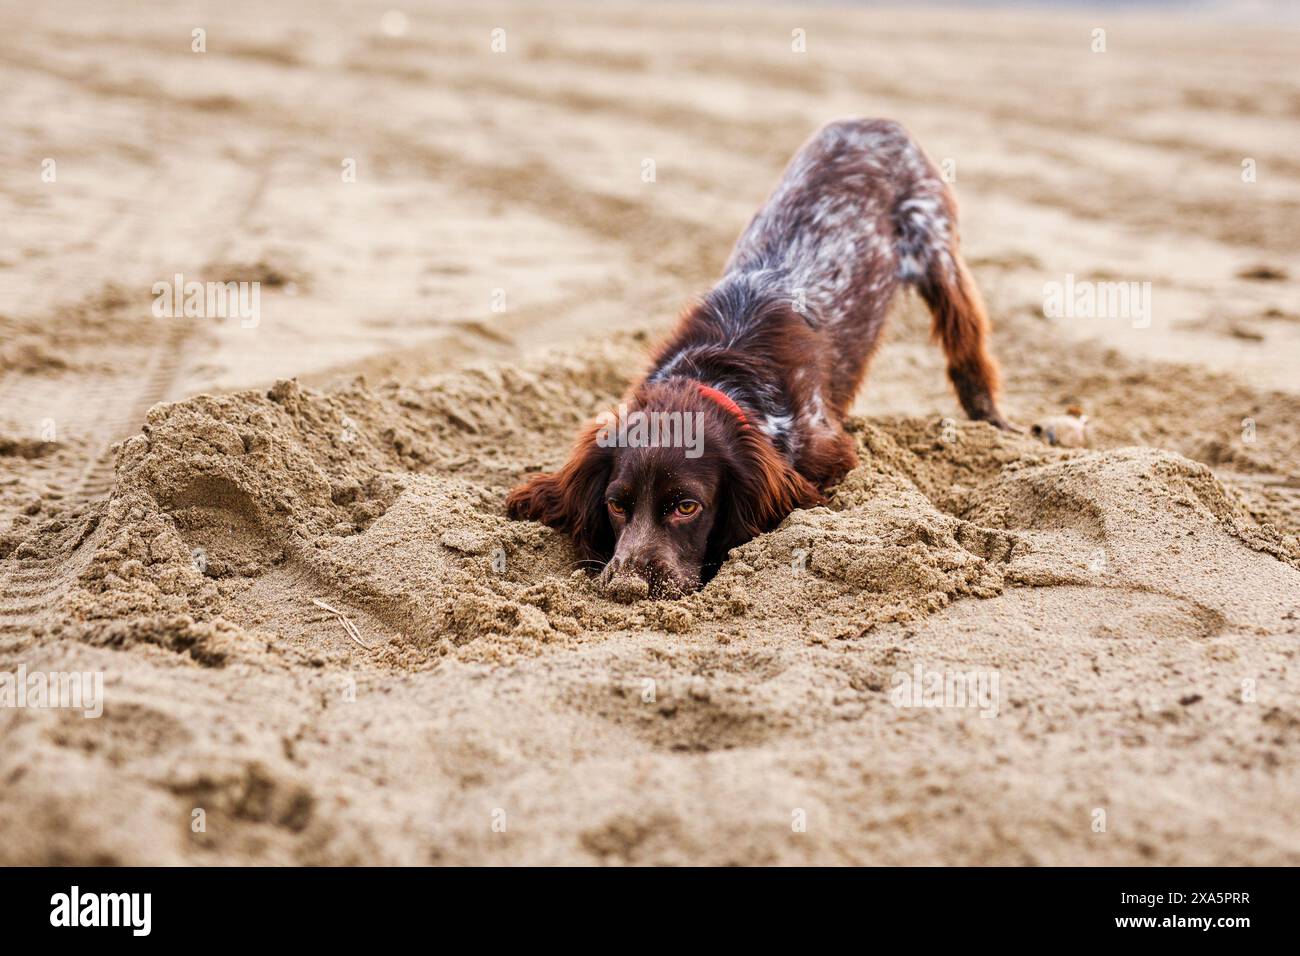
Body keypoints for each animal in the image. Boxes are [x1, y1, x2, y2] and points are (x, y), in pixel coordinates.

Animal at [504, 119, 1003, 598]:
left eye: (687, 506)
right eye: (615, 505)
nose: (628, 588)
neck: (716, 375)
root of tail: (876, 121)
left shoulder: (827, 453)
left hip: (938, 253)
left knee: (968, 346)